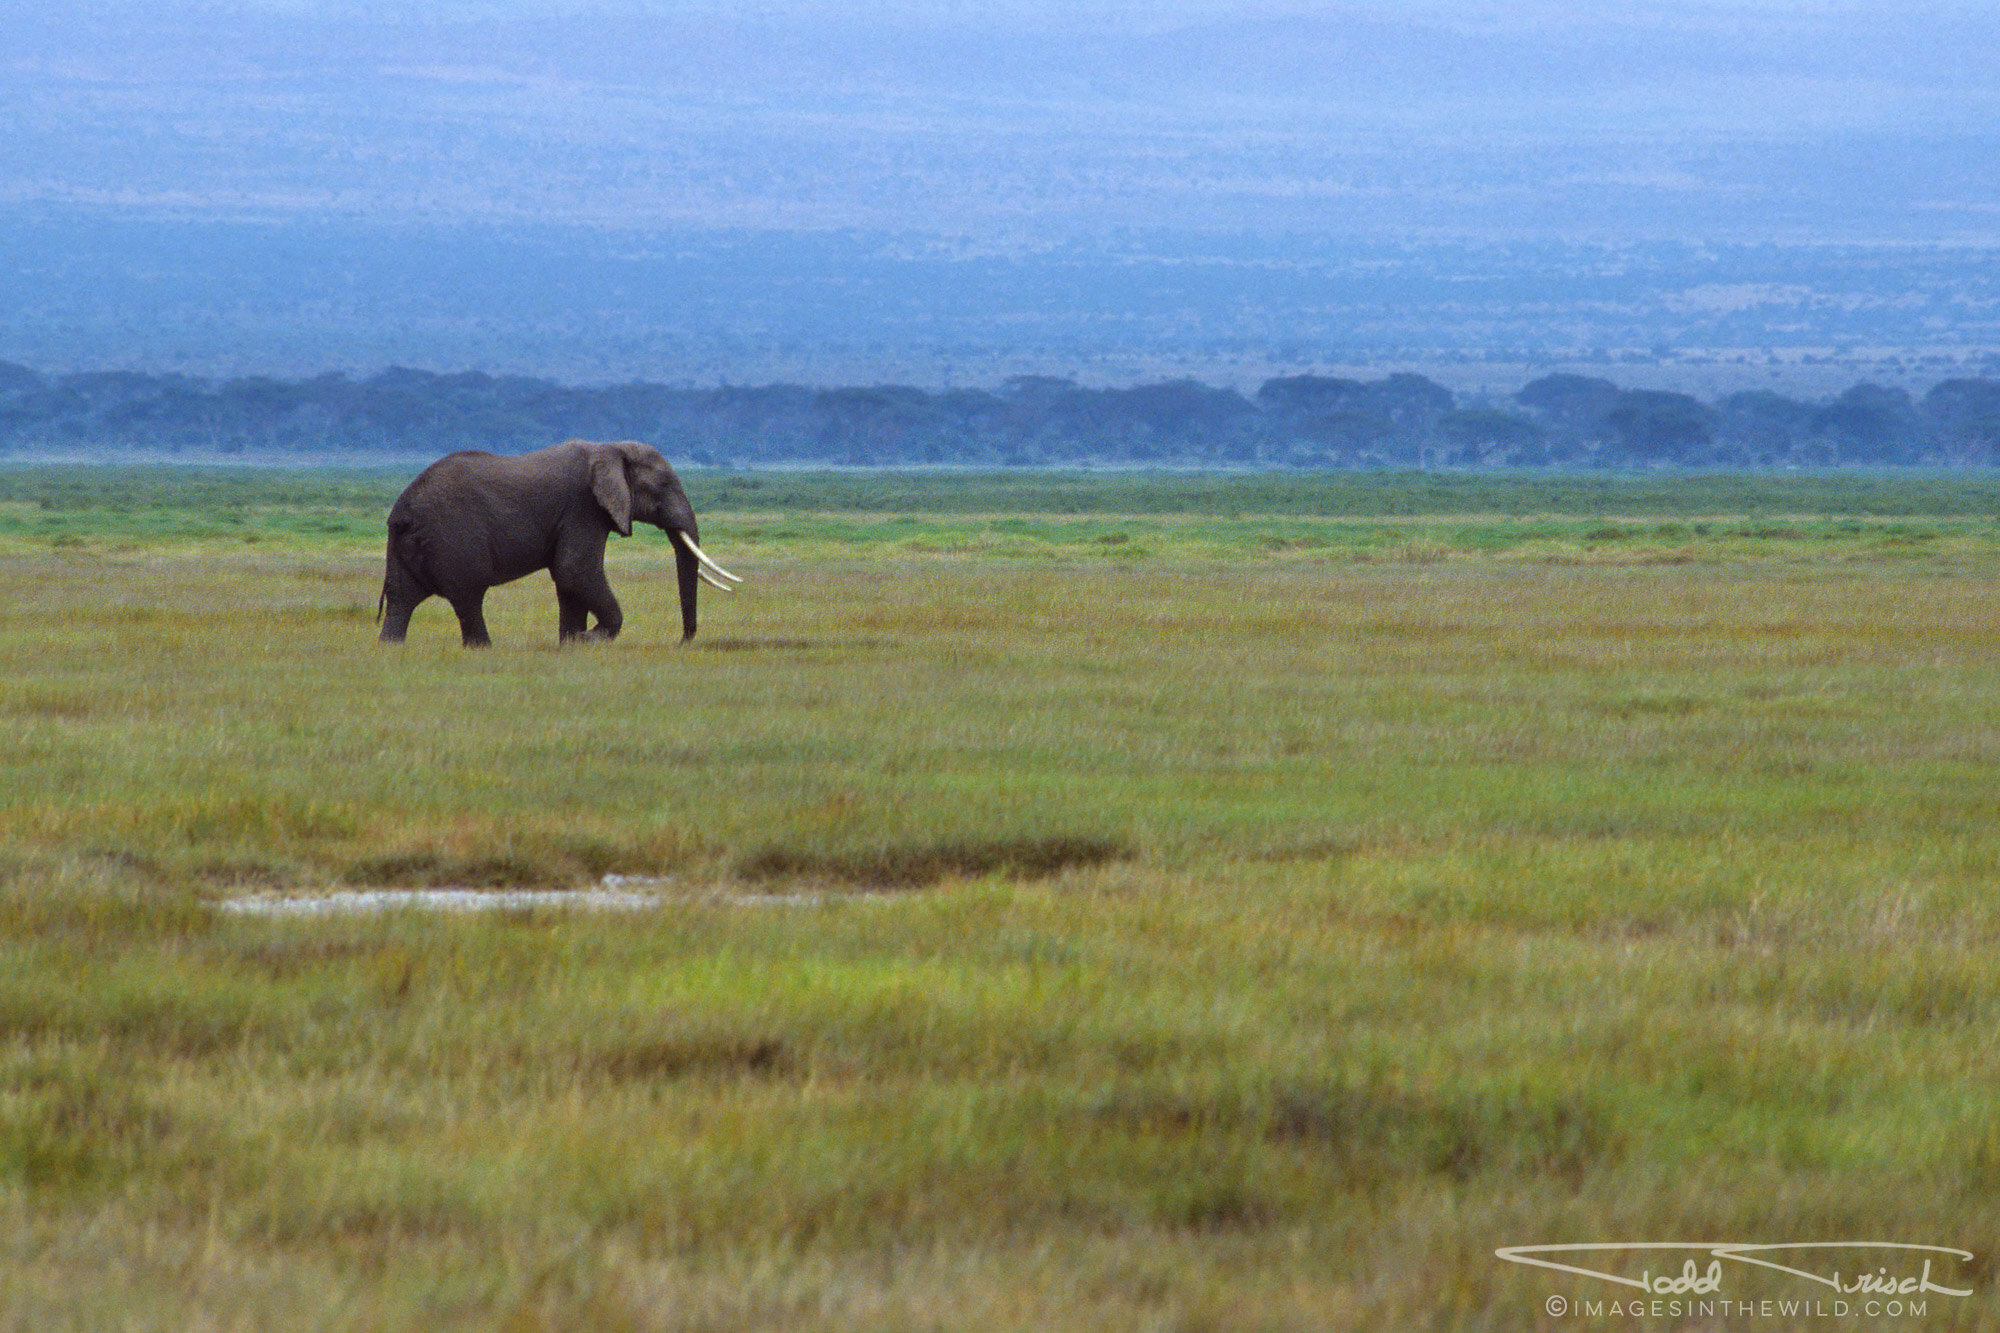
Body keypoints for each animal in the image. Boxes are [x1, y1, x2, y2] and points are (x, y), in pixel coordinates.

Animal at [378, 436, 740, 644]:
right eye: (663, 486)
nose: (683, 642)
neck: (608, 448)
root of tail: (400, 512)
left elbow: (568, 580)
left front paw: (570, 643)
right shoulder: (584, 506)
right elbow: (575, 570)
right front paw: (587, 639)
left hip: (410, 544)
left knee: (401, 598)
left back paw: (391, 649)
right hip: (451, 537)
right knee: (468, 597)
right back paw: (482, 649)